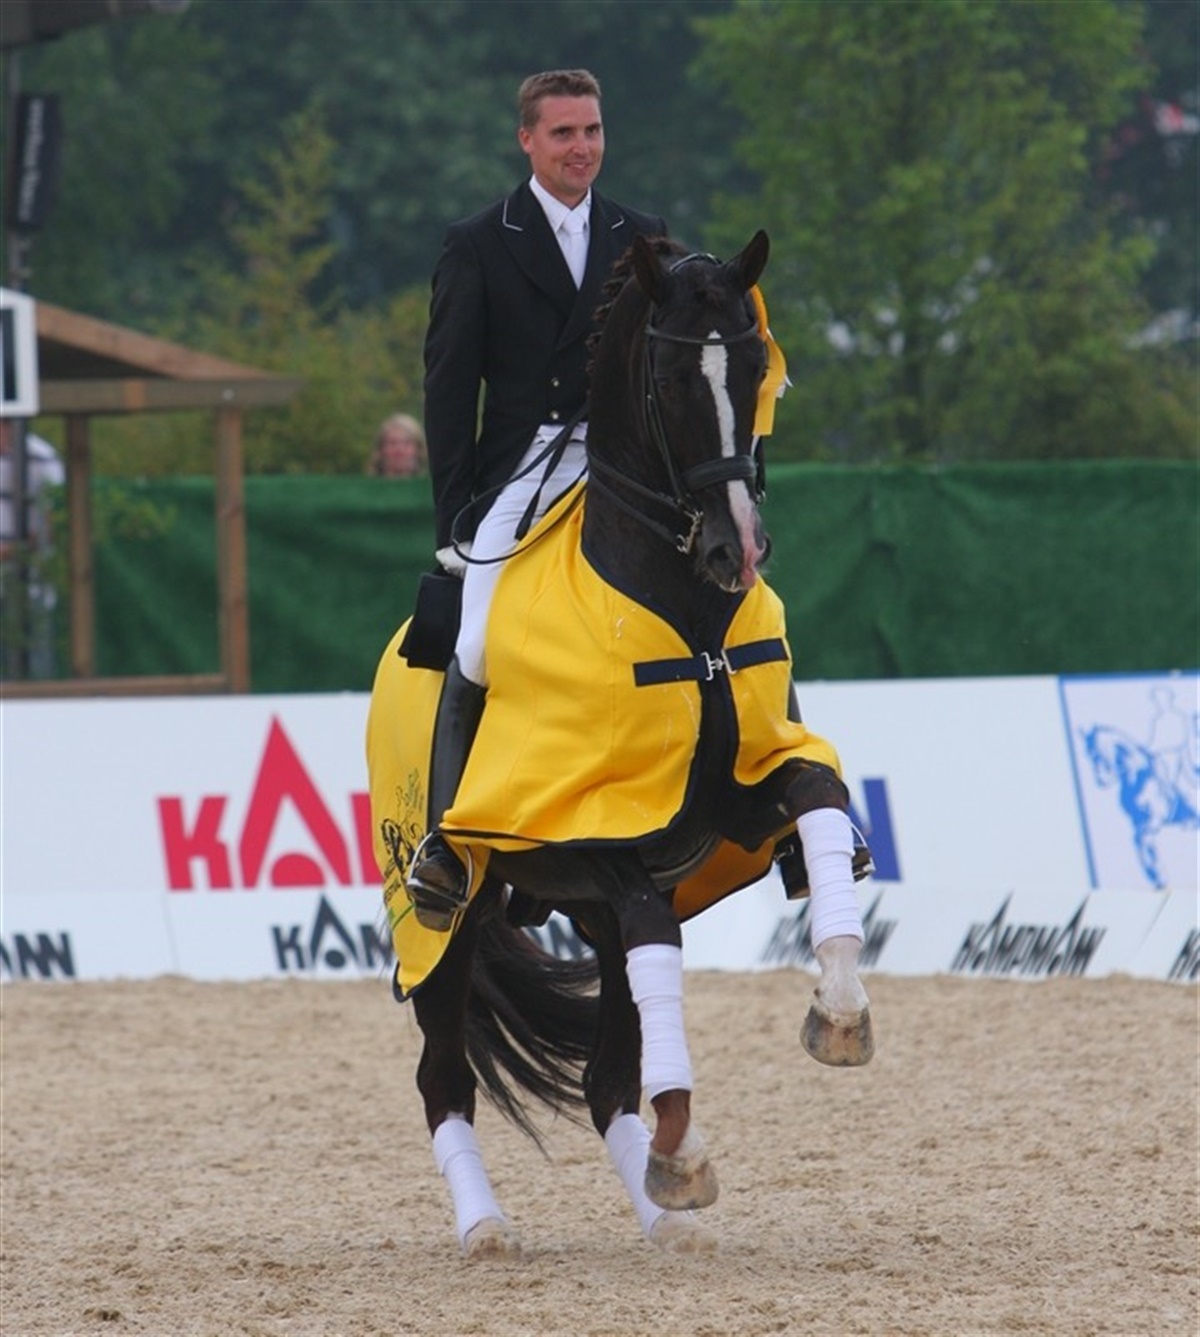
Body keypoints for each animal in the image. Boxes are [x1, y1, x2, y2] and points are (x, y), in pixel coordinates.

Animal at [366, 230, 874, 1259]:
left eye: (756, 369)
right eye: (673, 379)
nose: (735, 550)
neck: (689, 620)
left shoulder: (733, 803)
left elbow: (817, 794)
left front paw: (840, 1007)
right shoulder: (574, 840)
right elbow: (650, 926)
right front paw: (682, 1143)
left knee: (605, 1080)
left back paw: (663, 1210)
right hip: (446, 924)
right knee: (445, 1076)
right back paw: (489, 1226)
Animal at [1081, 723, 1199, 889]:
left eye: (1098, 755)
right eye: (1089, 755)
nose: (1101, 781)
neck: (1138, 777)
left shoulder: (1154, 820)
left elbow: (1141, 839)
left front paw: (1157, 874)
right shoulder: (1139, 822)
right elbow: (1141, 843)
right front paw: (1156, 875)